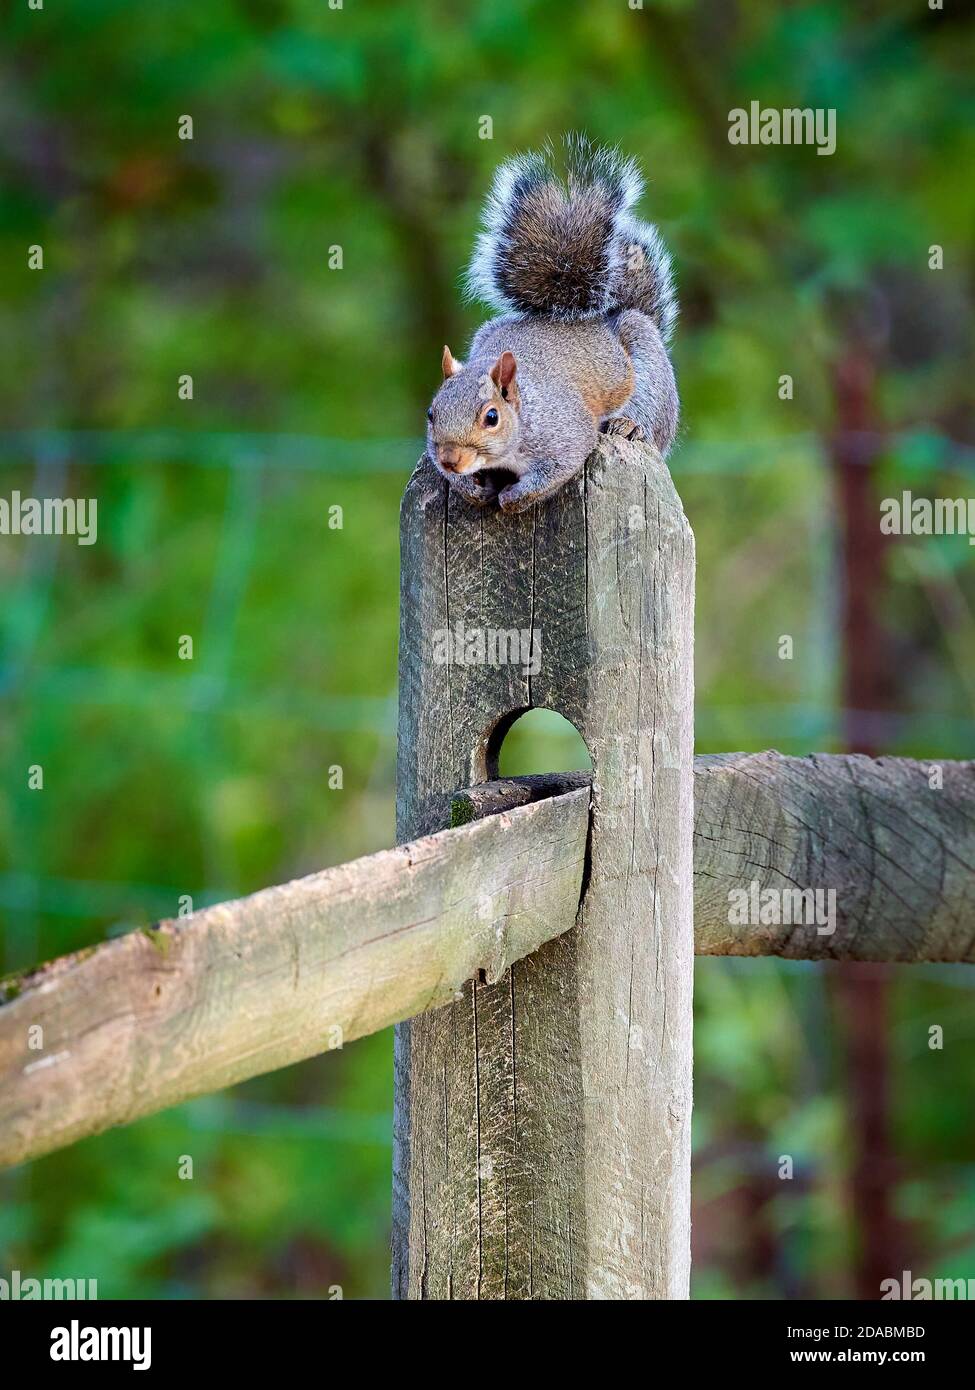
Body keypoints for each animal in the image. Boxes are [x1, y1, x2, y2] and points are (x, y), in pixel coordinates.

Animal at [425, 134, 679, 514]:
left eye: (491, 417)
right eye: (431, 413)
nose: (451, 460)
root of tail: (603, 319)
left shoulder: (565, 434)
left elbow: (557, 470)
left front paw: (513, 498)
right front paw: (468, 486)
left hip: (650, 371)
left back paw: (628, 425)